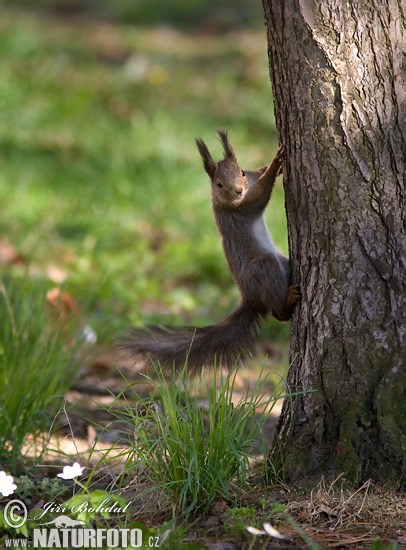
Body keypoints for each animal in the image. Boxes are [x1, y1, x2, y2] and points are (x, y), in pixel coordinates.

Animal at [117, 132, 298, 376]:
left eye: (241, 171)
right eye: (219, 184)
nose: (238, 191)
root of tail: (250, 298)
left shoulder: (249, 181)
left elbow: (257, 175)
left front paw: (270, 166)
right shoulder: (239, 208)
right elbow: (260, 195)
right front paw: (275, 164)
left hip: (283, 263)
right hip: (264, 266)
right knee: (278, 311)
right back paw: (288, 301)